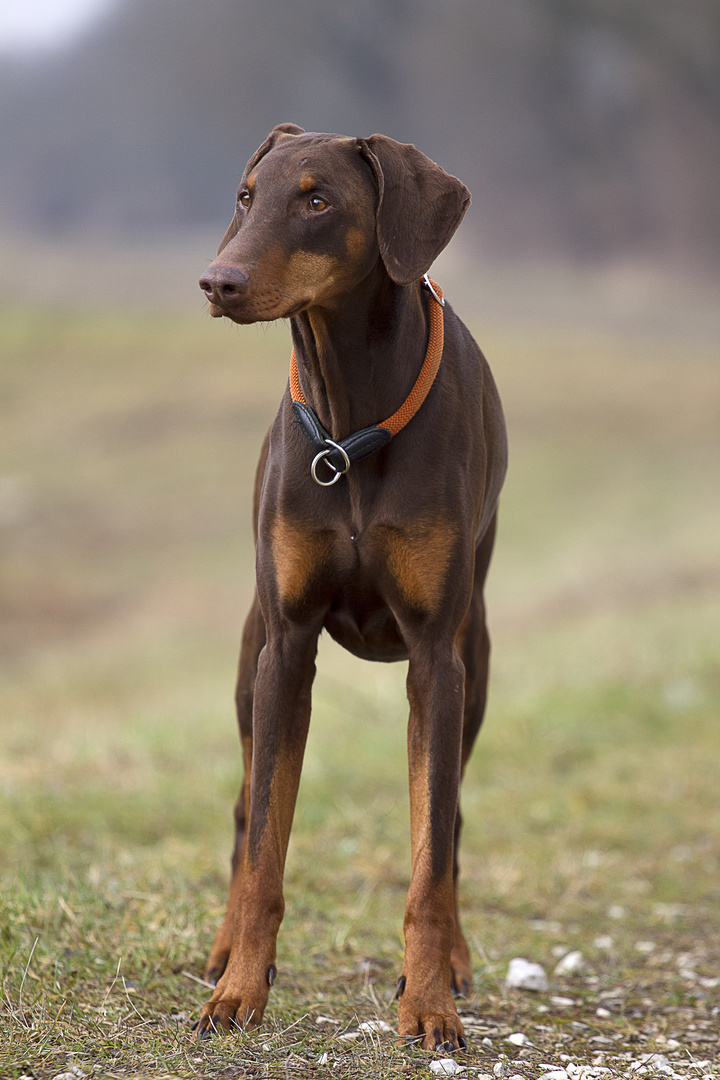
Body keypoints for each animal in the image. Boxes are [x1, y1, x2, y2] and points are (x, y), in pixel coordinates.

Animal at [197, 122, 507, 1049]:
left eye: (318, 199)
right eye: (246, 195)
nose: (218, 281)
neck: (351, 424)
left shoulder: (437, 659)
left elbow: (430, 853)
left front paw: (430, 1002)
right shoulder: (287, 646)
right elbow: (266, 843)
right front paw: (241, 991)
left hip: (476, 666)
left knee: (450, 826)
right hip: (250, 661)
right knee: (241, 815)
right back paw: (223, 953)